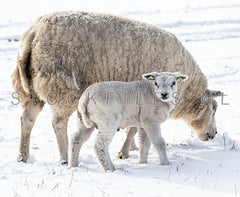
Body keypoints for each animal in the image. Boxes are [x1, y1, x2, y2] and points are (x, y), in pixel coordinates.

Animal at [11, 11, 221, 165]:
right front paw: (125, 152)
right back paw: (63, 158)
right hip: (62, 86)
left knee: (27, 119)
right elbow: (134, 129)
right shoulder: (142, 99)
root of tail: (32, 33)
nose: (214, 134)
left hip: (32, 90)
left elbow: (134, 127)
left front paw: (132, 149)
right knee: (59, 124)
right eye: (213, 110)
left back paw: (22, 156)